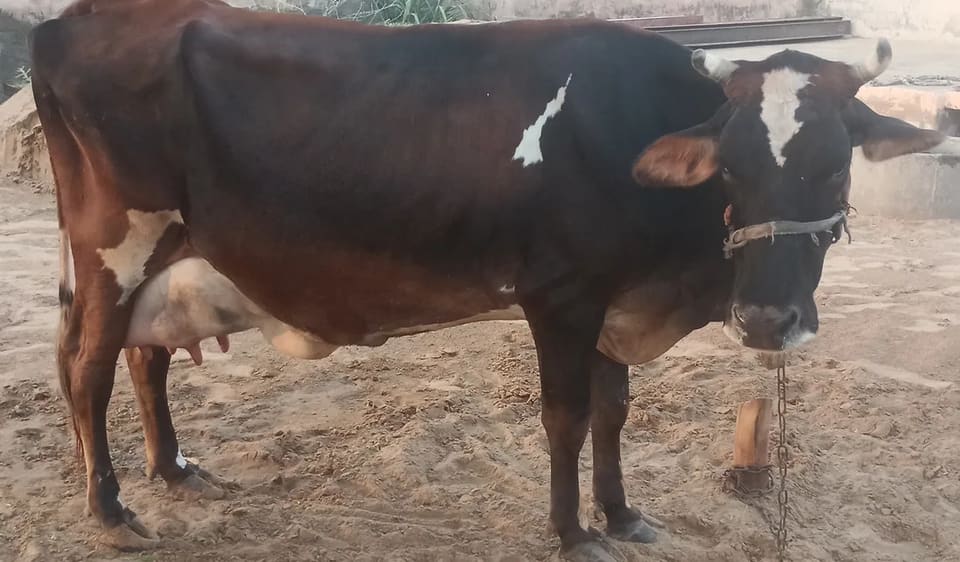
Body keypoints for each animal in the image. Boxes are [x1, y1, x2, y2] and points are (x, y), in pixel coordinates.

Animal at [29, 0, 959, 559]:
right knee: (87, 366)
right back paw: (110, 511)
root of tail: (72, 21)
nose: (768, 320)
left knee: (144, 357)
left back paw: (174, 467)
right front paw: (571, 531)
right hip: (116, 249)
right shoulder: (561, 297)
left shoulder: (614, 302)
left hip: (166, 260)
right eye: (731, 168)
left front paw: (622, 514)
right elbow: (566, 418)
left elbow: (615, 412)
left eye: (836, 166)